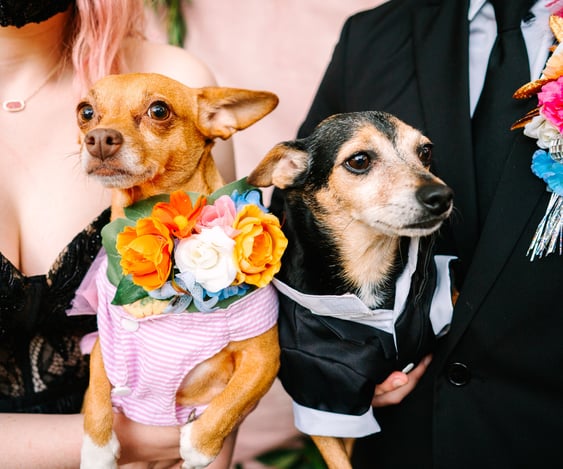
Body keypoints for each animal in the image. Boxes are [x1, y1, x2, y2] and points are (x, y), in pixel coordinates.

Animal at [248, 111, 458, 468]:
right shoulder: (325, 393)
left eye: (425, 151)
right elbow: (340, 460)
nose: (441, 196)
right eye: (359, 161)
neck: (368, 265)